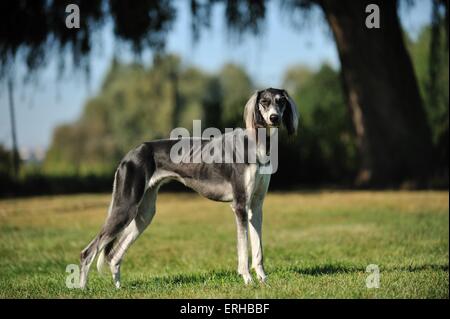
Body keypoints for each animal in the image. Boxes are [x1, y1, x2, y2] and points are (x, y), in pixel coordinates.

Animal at [80, 88, 298, 290]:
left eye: (281, 101)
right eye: (264, 101)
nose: (274, 118)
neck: (257, 143)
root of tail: (129, 154)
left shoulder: (256, 206)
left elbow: (258, 249)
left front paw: (263, 280)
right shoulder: (240, 206)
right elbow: (244, 248)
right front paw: (247, 279)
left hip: (144, 214)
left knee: (114, 256)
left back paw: (118, 287)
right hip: (125, 208)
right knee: (87, 252)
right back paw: (82, 288)